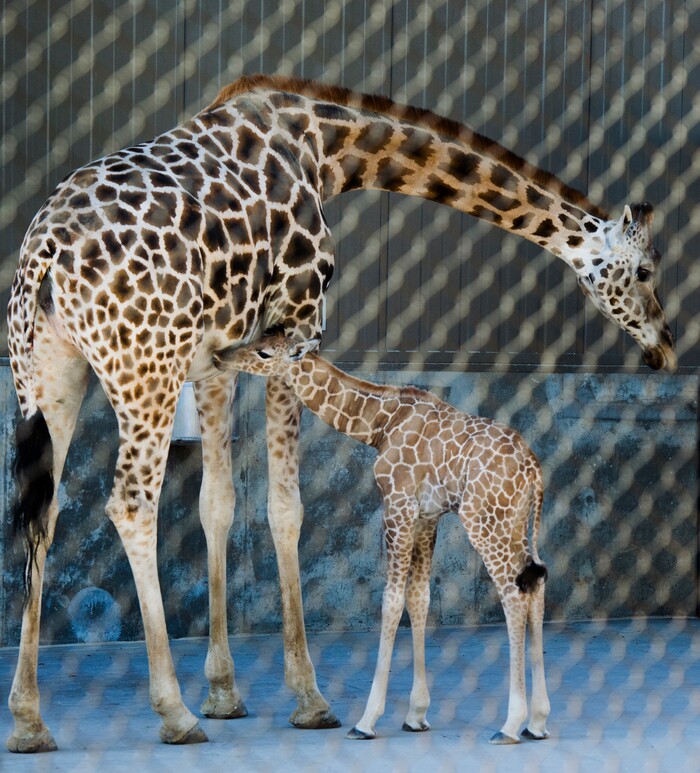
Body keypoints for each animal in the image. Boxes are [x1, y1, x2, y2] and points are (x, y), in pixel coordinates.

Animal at [215, 330, 550, 744]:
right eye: (258, 335)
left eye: (263, 351)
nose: (220, 356)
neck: (379, 426)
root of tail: (534, 471)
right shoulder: (426, 518)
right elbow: (419, 600)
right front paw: (416, 715)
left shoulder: (397, 506)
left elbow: (390, 602)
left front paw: (366, 720)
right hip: (515, 523)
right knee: (535, 586)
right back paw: (538, 721)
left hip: (483, 522)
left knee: (513, 595)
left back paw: (510, 724)